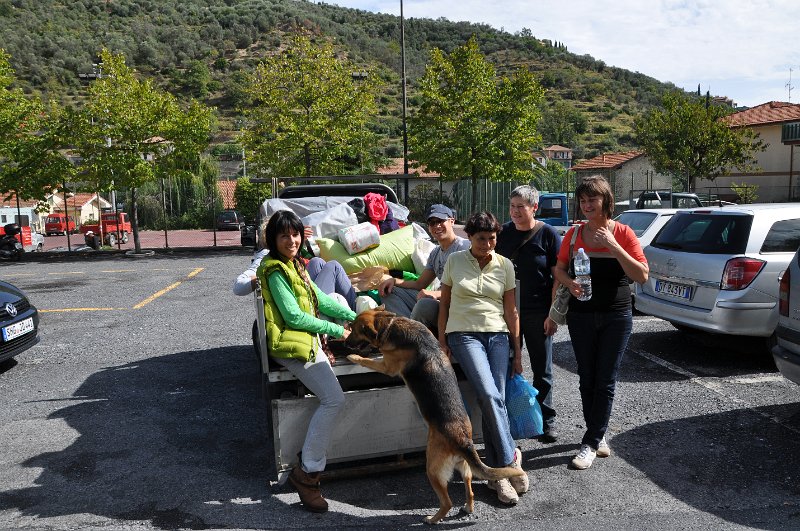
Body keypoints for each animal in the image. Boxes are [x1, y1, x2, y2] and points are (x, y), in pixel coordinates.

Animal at [346, 308, 524, 524]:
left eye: (355, 329)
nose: (345, 344)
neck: (389, 324)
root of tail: (463, 441)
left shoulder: (388, 366)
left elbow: (368, 361)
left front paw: (353, 357)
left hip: (432, 469)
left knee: (447, 502)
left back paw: (432, 519)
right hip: (465, 468)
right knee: (470, 490)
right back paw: (467, 508)